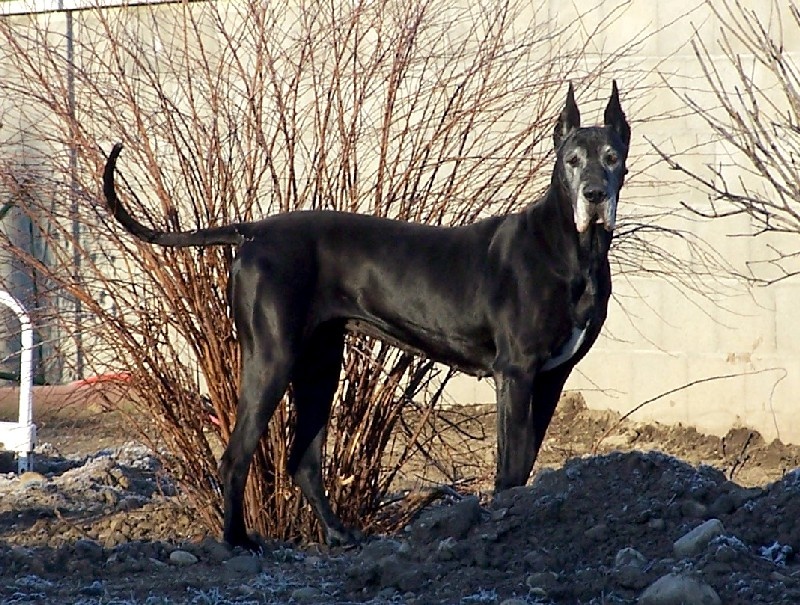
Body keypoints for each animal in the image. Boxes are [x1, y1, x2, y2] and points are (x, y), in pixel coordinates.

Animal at [103, 80, 628, 548]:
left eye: (611, 158)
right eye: (571, 161)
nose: (594, 195)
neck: (573, 249)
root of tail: (253, 231)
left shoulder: (552, 377)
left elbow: (526, 458)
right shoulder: (515, 373)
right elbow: (512, 465)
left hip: (320, 364)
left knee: (303, 460)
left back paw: (337, 534)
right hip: (272, 358)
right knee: (235, 456)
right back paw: (238, 542)